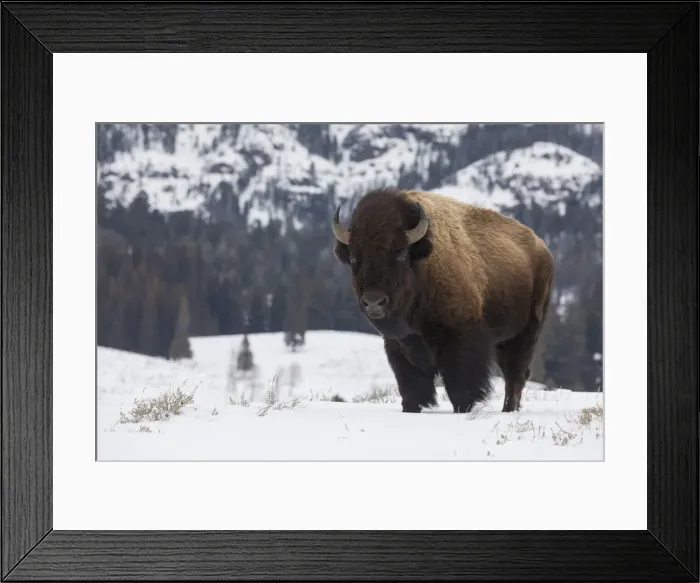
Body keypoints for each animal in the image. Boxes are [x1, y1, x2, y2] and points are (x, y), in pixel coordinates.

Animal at [331, 187, 555, 414]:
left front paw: (463, 408)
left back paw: (508, 409)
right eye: (353, 258)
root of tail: (543, 249)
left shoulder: (460, 338)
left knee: (515, 373)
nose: (374, 301)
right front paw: (410, 408)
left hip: (527, 330)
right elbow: (410, 384)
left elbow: (460, 382)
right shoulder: (400, 343)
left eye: (401, 253)